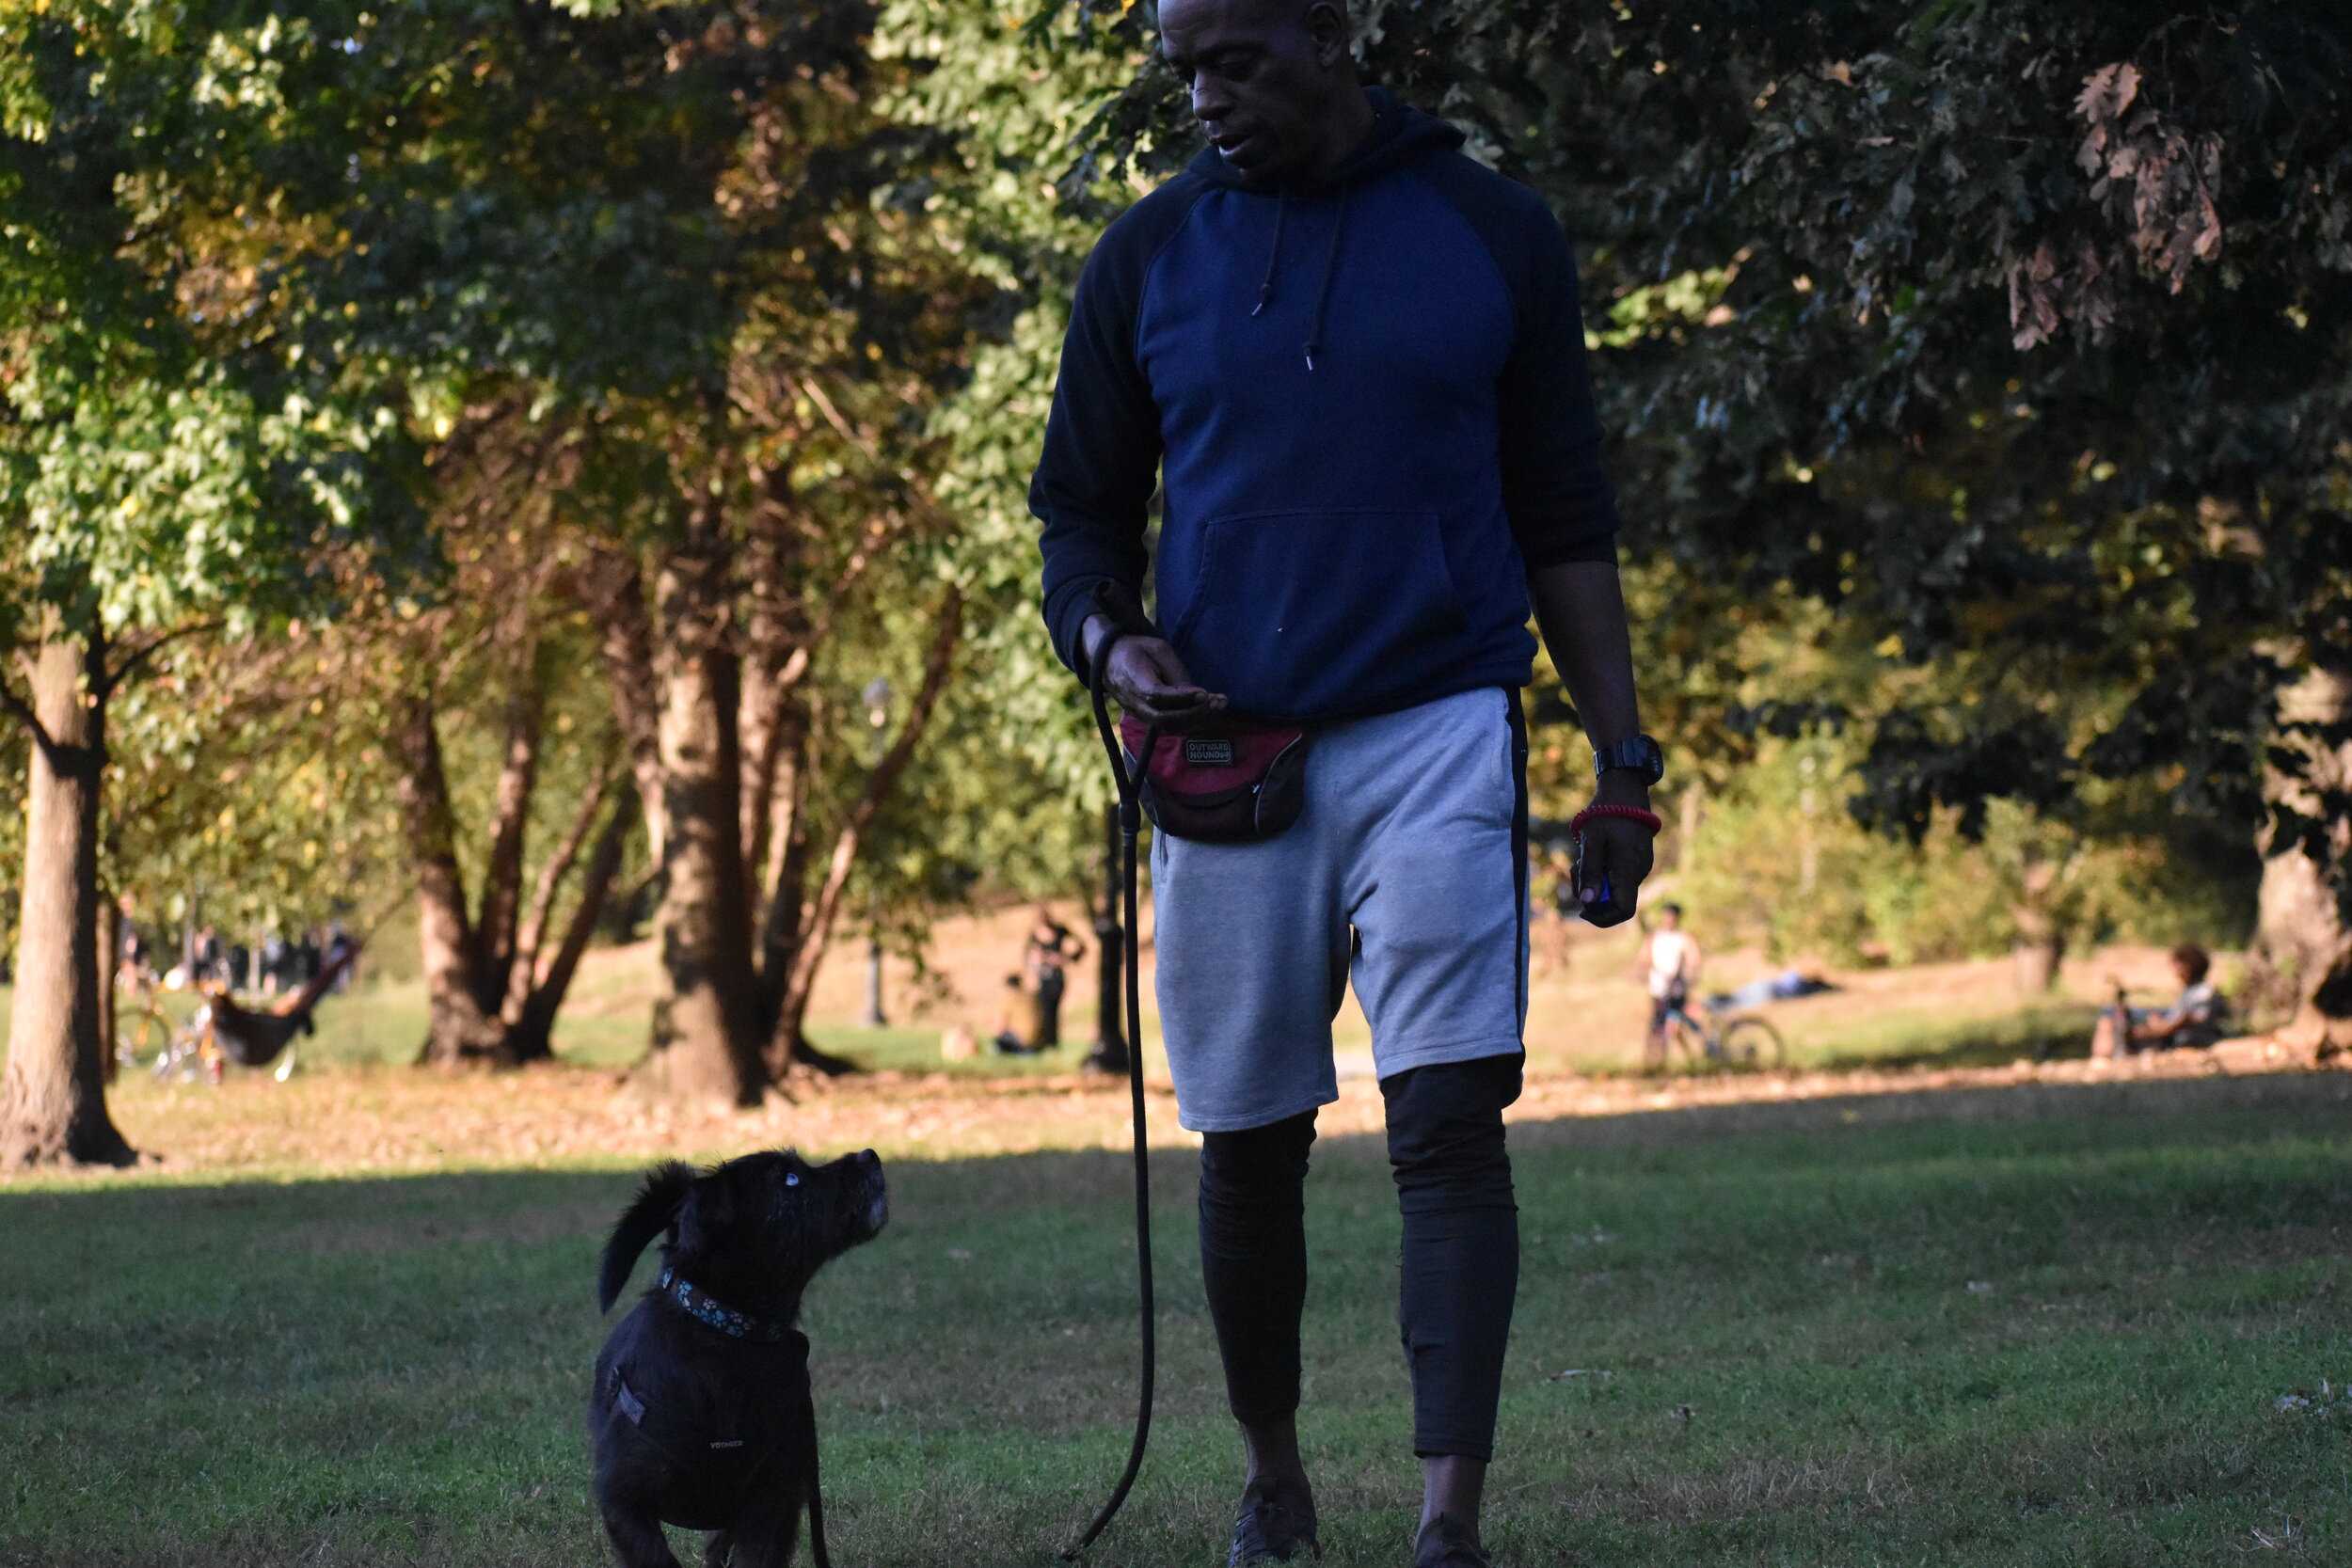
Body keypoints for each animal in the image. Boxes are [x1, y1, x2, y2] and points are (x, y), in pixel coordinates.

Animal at [590, 1148, 888, 1568]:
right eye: (790, 1180)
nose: (869, 1155)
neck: (729, 1335)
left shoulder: (774, 1502)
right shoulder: (623, 1499)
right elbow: (656, 1556)